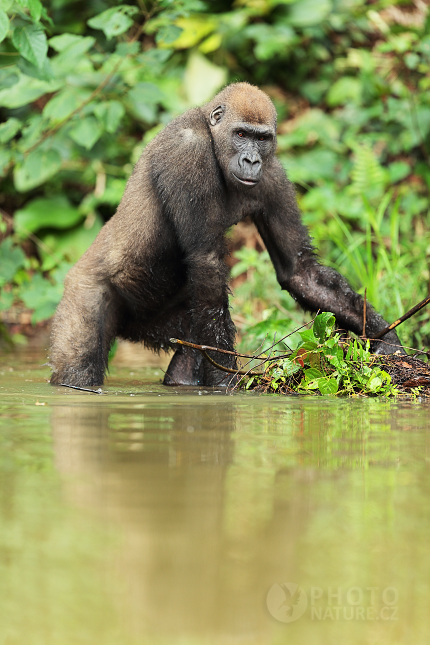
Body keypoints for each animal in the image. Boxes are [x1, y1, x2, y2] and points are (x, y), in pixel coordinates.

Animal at [50, 80, 404, 382]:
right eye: (241, 133)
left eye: (262, 139)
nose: (251, 160)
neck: (212, 133)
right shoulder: (188, 152)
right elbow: (206, 261)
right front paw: (226, 381)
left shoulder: (273, 174)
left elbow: (301, 272)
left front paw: (388, 340)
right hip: (84, 289)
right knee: (77, 366)